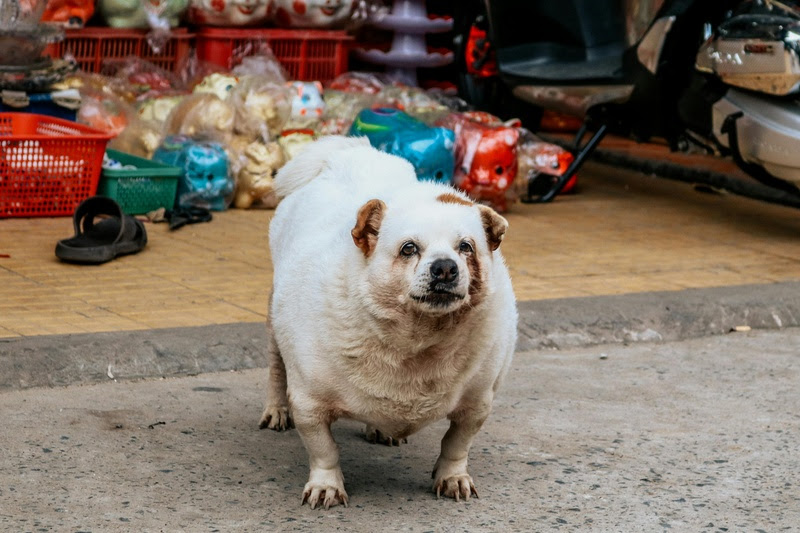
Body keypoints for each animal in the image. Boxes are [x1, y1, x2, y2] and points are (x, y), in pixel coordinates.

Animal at [260, 136, 516, 508]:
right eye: (409, 248)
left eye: (466, 247)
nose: (445, 267)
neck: (417, 341)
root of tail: (343, 152)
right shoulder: (309, 402)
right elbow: (324, 450)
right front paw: (326, 486)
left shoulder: (478, 401)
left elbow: (456, 444)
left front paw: (452, 478)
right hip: (274, 323)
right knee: (276, 368)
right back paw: (276, 410)